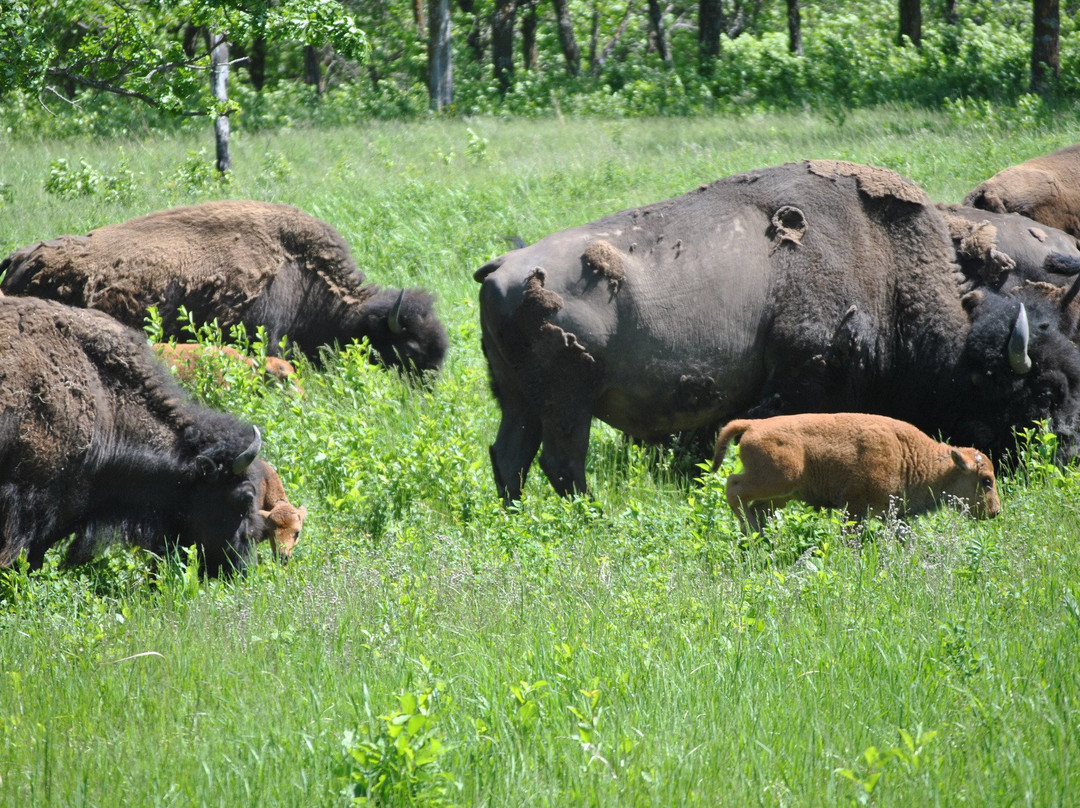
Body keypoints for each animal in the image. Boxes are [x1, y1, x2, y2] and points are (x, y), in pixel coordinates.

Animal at [475, 160, 1080, 501]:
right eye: (1041, 391)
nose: (1068, 455)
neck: (886, 271)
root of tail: (502, 268)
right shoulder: (797, 384)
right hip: (568, 401)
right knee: (560, 463)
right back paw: (591, 516)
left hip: (519, 399)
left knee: (510, 457)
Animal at [708, 412, 1002, 533]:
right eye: (986, 481)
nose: (995, 512)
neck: (909, 455)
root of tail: (753, 425)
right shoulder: (854, 509)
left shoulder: (894, 514)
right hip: (778, 480)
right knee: (733, 487)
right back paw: (749, 530)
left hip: (782, 494)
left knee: (755, 506)